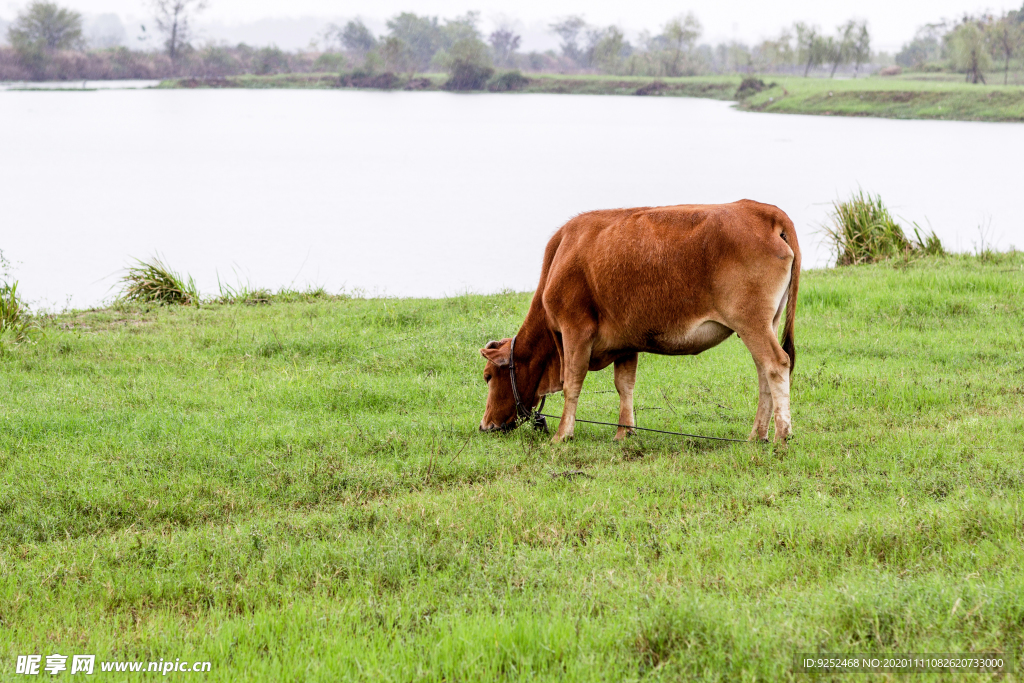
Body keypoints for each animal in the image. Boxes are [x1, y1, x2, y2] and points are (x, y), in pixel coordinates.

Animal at [477, 198, 798, 444]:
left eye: (488, 376)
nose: (485, 425)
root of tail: (762, 210)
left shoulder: (575, 330)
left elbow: (573, 382)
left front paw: (562, 435)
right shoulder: (625, 342)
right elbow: (625, 385)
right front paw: (624, 433)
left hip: (751, 322)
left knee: (776, 364)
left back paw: (781, 435)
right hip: (765, 323)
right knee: (763, 373)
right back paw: (757, 435)